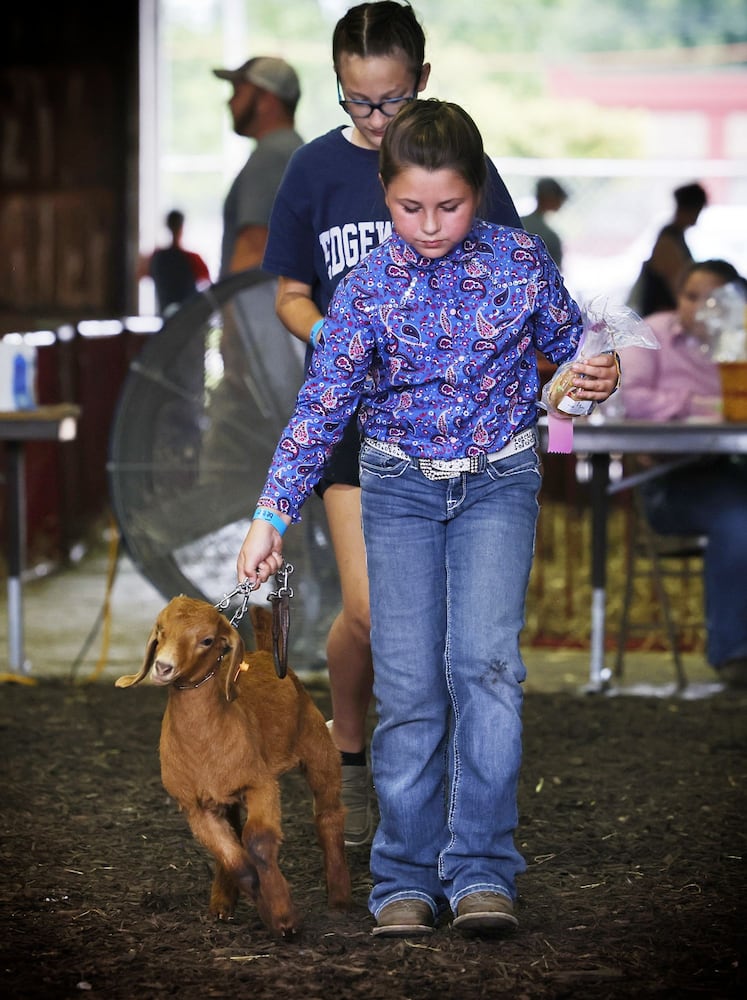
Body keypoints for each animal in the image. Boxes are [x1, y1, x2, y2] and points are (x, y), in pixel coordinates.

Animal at [114, 592, 354, 936]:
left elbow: (258, 841)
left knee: (328, 815)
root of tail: (268, 652)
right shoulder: (194, 805)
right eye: (160, 630)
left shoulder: (261, 784)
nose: (163, 666)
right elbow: (232, 855)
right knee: (235, 830)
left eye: (207, 640)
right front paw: (264, 901)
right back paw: (222, 903)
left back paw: (339, 900)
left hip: (319, 748)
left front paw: (284, 917)